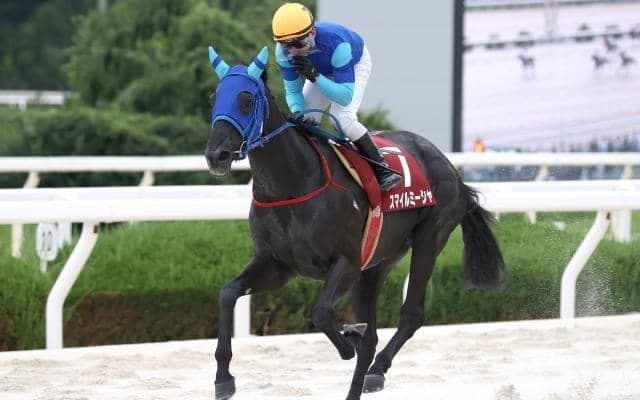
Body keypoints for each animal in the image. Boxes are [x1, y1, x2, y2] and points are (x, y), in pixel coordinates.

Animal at [205, 45, 506, 400]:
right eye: (214, 97)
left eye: (246, 99)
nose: (217, 155)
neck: (292, 185)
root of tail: (451, 170)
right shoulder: (276, 265)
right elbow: (227, 293)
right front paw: (223, 378)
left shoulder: (346, 261)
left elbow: (322, 313)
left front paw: (348, 342)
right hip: (379, 260)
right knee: (374, 329)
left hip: (429, 239)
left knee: (411, 315)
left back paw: (376, 369)